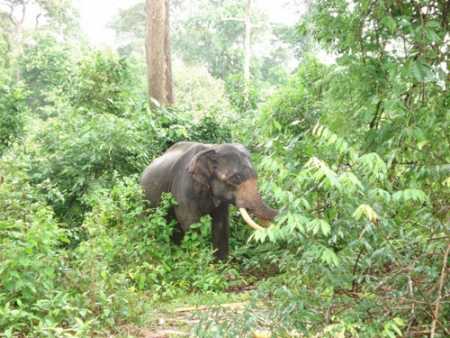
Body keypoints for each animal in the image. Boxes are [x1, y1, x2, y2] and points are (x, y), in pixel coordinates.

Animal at [139, 141, 278, 260]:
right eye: (235, 179)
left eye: (256, 175)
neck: (214, 148)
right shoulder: (184, 186)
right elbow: (189, 221)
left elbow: (221, 223)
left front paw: (222, 266)